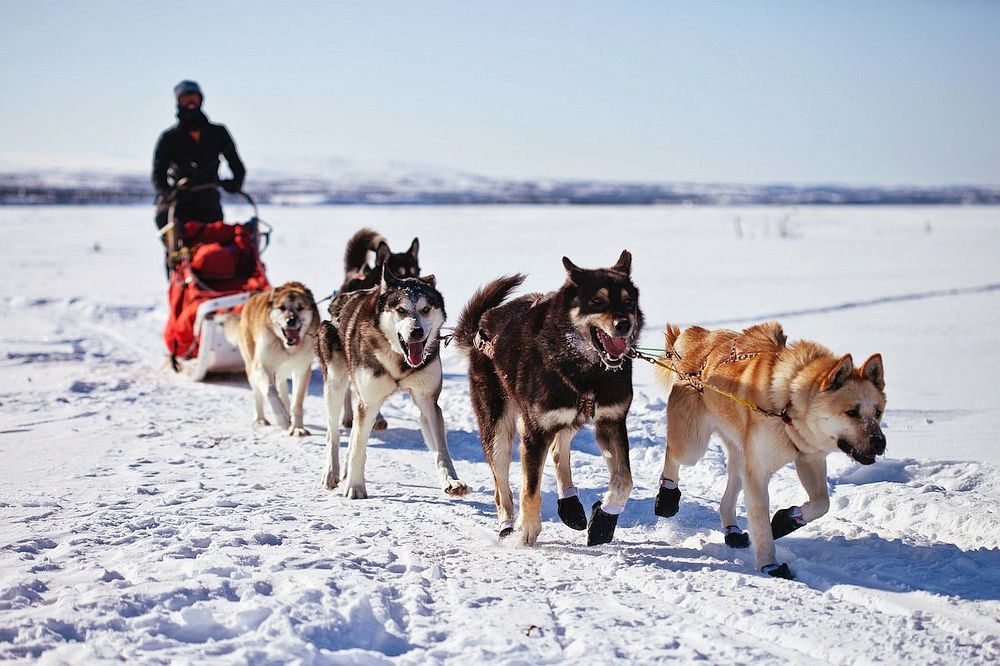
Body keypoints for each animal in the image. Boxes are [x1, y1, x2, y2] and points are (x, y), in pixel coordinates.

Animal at [233, 282, 316, 434]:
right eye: (282, 307)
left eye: (300, 307)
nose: (291, 321)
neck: (287, 348)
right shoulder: (262, 366)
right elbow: (270, 391)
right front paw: (283, 418)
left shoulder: (302, 370)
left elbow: (297, 403)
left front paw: (297, 428)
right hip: (251, 368)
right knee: (258, 395)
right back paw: (260, 419)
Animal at [314, 262, 466, 496]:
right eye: (401, 310)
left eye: (426, 309)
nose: (416, 332)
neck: (399, 359)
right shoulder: (369, 402)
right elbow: (358, 446)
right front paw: (355, 487)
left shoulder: (428, 402)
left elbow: (441, 449)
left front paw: (451, 480)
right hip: (335, 385)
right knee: (334, 435)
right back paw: (332, 472)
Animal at [452, 249, 640, 544]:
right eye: (597, 301)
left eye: (628, 301)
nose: (624, 324)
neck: (587, 371)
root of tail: (481, 326)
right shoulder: (535, 431)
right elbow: (530, 489)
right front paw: (527, 530)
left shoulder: (611, 421)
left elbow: (625, 480)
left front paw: (604, 519)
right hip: (498, 429)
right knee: (501, 486)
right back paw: (507, 525)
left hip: (567, 416)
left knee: (558, 450)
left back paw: (570, 505)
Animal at [656, 320, 892, 576]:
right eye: (851, 412)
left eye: (878, 412)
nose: (880, 443)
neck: (788, 406)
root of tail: (699, 336)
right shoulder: (758, 473)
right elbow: (760, 520)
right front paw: (770, 564)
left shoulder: (808, 459)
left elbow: (823, 502)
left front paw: (785, 520)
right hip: (693, 446)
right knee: (673, 455)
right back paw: (667, 497)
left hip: (741, 457)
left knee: (728, 496)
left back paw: (732, 531)